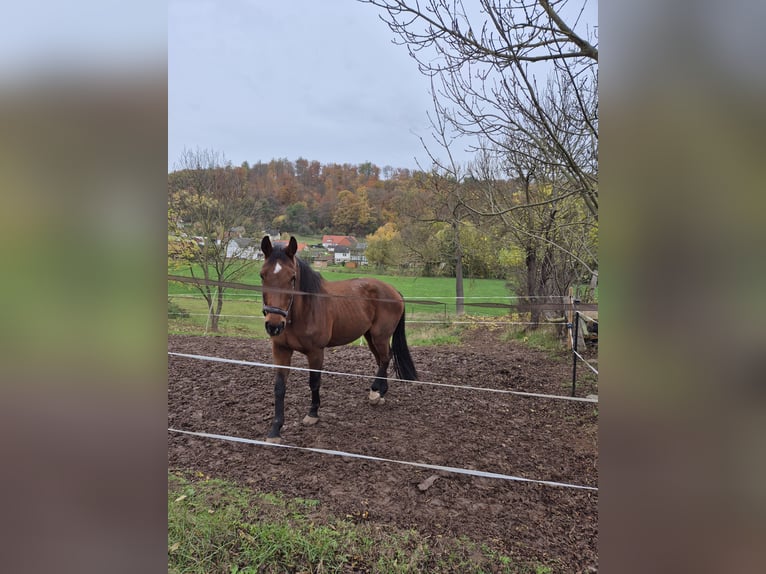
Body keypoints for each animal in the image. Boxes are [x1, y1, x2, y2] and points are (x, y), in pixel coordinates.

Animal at [259, 236, 418, 443]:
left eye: (292, 277)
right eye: (262, 275)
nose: (274, 324)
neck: (304, 310)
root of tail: (394, 292)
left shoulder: (316, 352)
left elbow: (314, 382)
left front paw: (312, 414)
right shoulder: (281, 350)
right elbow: (279, 388)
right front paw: (275, 430)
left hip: (380, 336)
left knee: (384, 358)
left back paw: (375, 392)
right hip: (370, 336)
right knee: (383, 359)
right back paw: (380, 392)